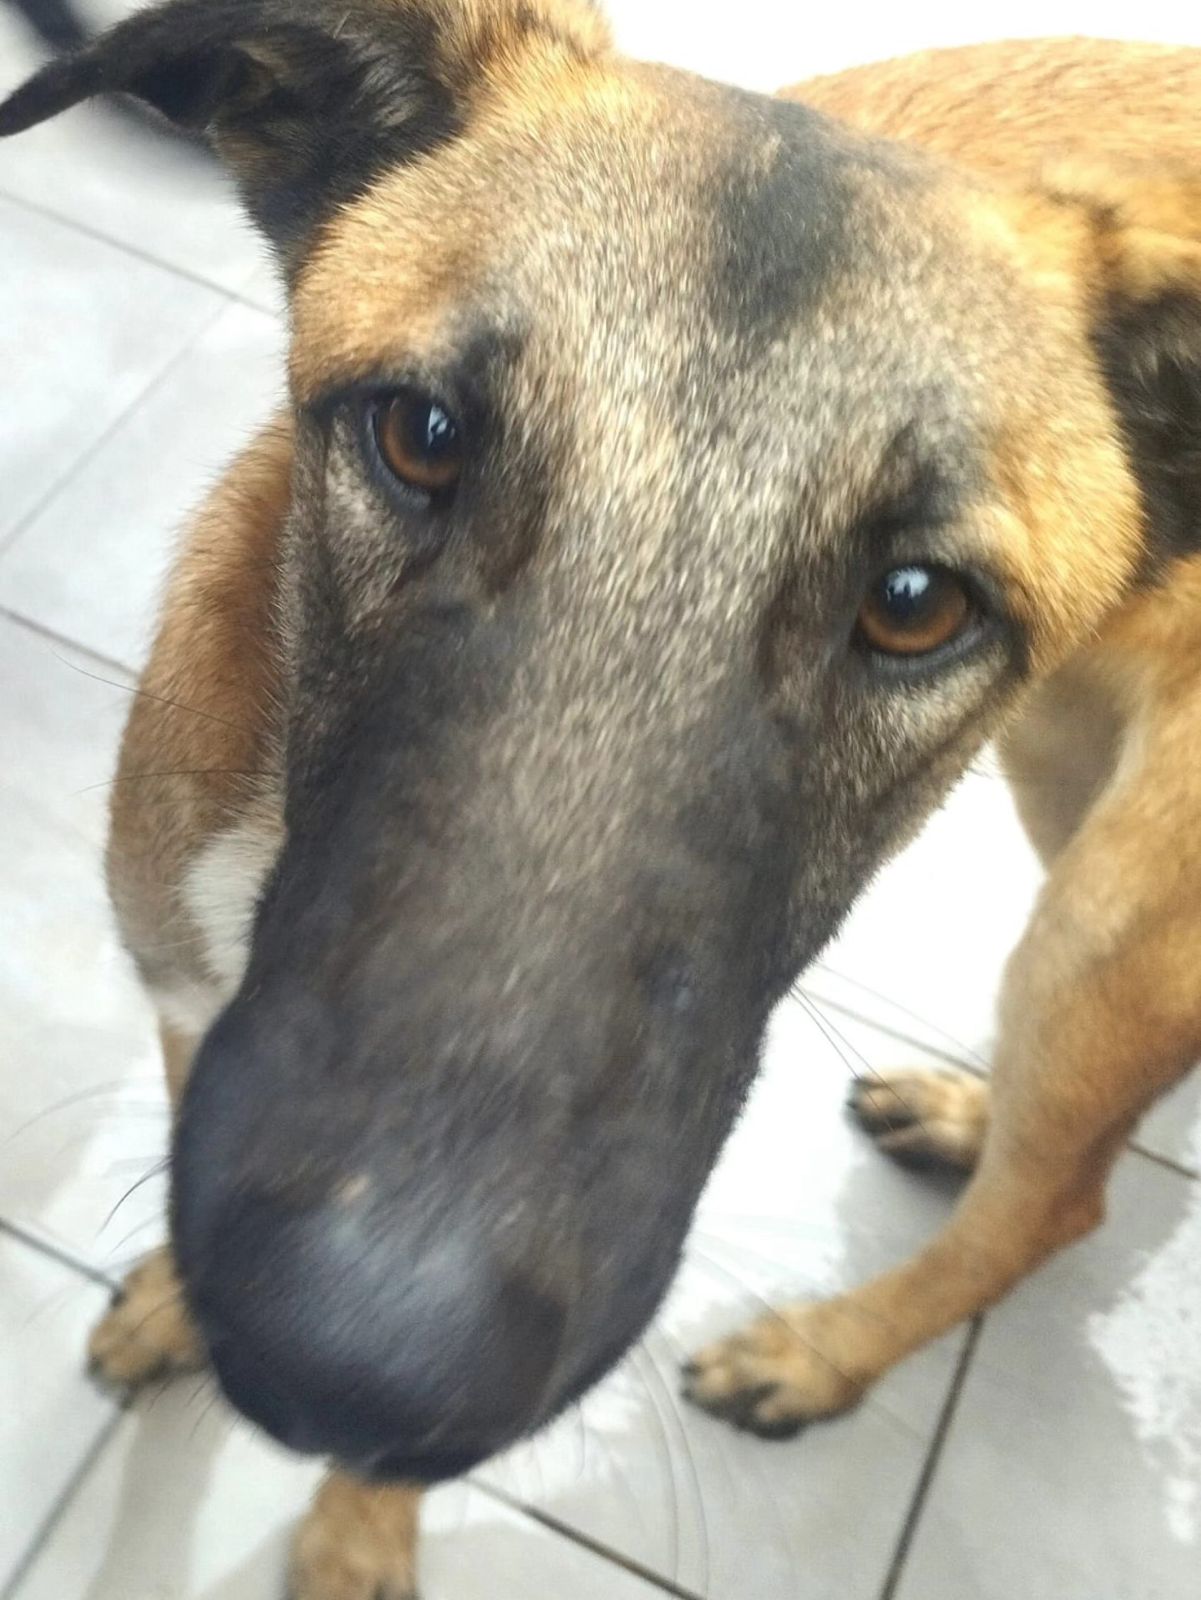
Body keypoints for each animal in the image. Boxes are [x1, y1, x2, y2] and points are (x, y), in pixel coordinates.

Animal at [3, 5, 1200, 1595]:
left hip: (1109, 916)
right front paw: (184, 1312)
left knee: (1057, 1201)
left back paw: (823, 1351)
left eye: (912, 605)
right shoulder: (191, 992)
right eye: (421, 433)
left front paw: (357, 1525)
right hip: (1060, 779)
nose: (350, 1366)